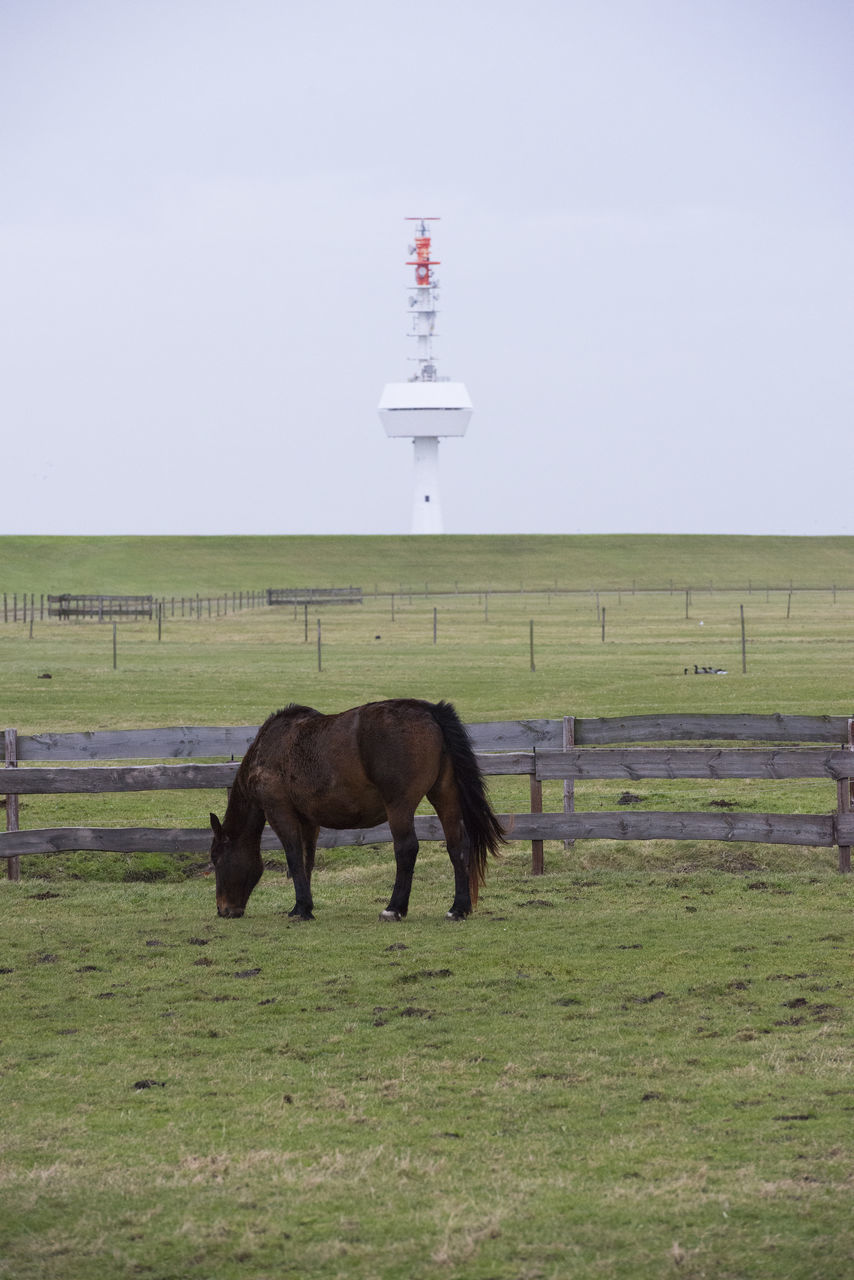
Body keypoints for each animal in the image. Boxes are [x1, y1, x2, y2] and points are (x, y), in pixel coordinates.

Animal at [209, 701, 504, 921]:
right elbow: (306, 860)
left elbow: (293, 856)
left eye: (216, 859)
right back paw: (458, 908)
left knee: (406, 848)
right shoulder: (309, 820)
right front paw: (305, 906)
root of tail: (429, 710)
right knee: (457, 845)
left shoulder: (280, 811)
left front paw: (301, 908)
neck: (269, 748)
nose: (223, 910)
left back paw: (394, 908)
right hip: (445, 795)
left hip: (399, 804)